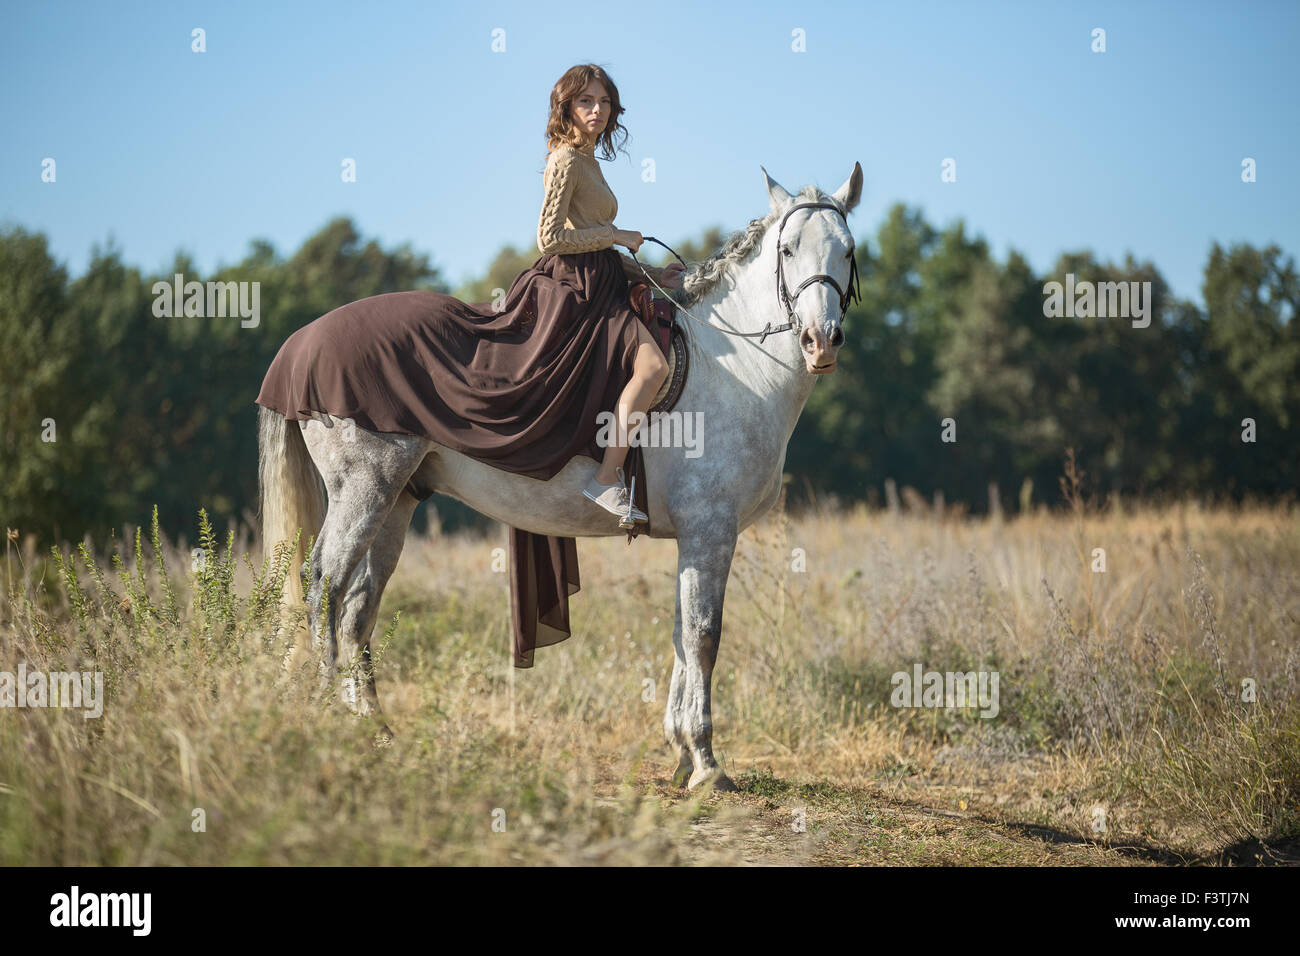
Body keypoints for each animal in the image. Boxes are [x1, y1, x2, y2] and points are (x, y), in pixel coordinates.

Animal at [257, 162, 857, 790]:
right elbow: (703, 636)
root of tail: (299, 346)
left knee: (356, 607)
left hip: (395, 502)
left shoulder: (693, 538)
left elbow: (679, 632)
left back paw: (372, 728)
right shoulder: (710, 530)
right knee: (322, 586)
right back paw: (327, 717)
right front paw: (706, 762)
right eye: (787, 250)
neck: (734, 365)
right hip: (363, 493)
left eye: (847, 250)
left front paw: (679, 754)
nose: (820, 341)